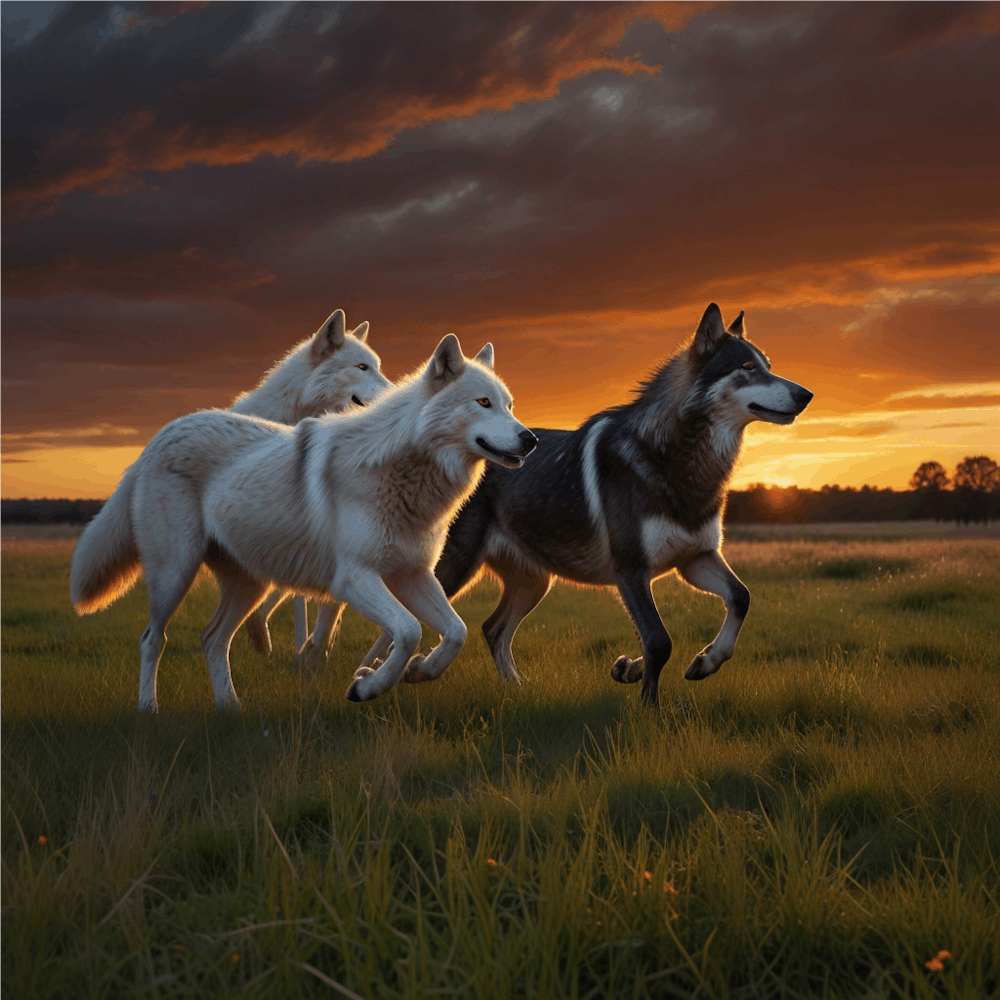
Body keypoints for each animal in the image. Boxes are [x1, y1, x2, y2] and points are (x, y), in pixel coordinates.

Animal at [69, 335, 537, 711]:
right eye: (483, 403)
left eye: (510, 406)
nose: (530, 438)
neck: (404, 473)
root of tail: (162, 434)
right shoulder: (353, 579)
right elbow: (407, 631)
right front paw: (366, 687)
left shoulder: (413, 575)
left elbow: (455, 632)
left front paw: (418, 672)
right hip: (175, 575)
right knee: (153, 639)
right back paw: (148, 709)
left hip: (250, 586)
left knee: (211, 638)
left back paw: (230, 707)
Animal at [362, 304, 812, 707]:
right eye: (748, 368)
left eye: (768, 365)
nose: (807, 393)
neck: (676, 461)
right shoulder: (631, 571)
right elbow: (659, 641)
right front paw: (649, 706)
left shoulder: (695, 559)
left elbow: (740, 598)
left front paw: (699, 662)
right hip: (449, 570)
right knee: (404, 627)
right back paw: (387, 675)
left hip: (534, 583)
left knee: (492, 628)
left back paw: (515, 688)